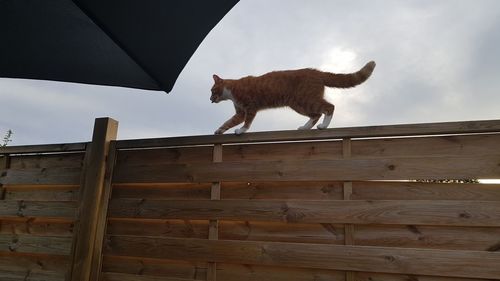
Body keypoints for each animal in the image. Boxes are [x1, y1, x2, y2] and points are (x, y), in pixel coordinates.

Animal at [211, 59, 376, 134]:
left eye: (212, 90)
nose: (210, 99)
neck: (232, 90)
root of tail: (316, 72)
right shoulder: (240, 112)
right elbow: (229, 121)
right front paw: (219, 130)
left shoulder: (250, 107)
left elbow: (247, 122)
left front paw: (242, 130)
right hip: (298, 104)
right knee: (315, 115)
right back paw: (305, 127)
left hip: (306, 100)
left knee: (329, 107)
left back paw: (323, 126)